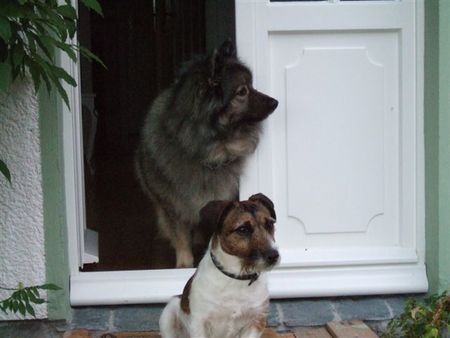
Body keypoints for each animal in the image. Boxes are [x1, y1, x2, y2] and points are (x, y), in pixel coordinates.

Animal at [134, 40, 278, 266]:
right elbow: (181, 237)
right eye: (242, 91)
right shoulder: (173, 206)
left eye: (251, 85)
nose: (275, 102)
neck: (206, 149)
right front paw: (184, 264)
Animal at [158, 193, 278, 338]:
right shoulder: (199, 322)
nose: (274, 256)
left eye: (270, 224)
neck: (237, 277)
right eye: (243, 229)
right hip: (169, 313)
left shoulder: (256, 321)